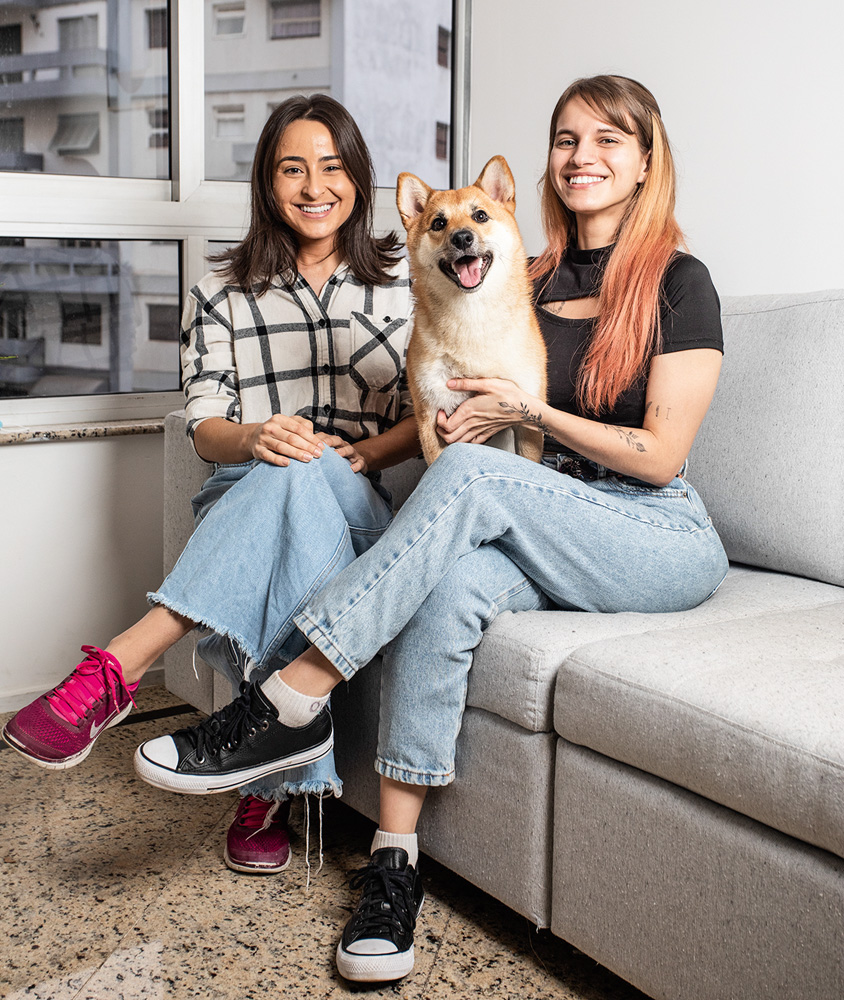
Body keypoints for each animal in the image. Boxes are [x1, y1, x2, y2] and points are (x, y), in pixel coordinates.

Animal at [400, 154, 552, 466]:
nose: (461, 238)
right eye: (438, 223)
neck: (471, 315)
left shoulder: (528, 418)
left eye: (480, 216)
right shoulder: (430, 416)